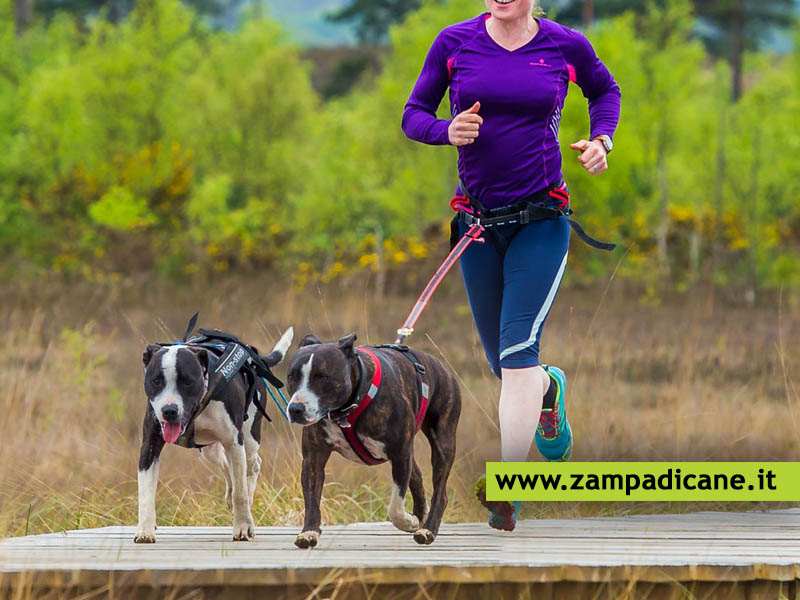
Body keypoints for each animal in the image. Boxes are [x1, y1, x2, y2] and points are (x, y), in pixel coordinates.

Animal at [136, 328, 296, 544]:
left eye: (187, 381)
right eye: (156, 381)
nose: (169, 410)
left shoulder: (234, 442)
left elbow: (240, 493)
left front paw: (243, 526)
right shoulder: (150, 446)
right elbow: (146, 493)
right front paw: (145, 530)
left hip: (249, 438)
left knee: (252, 466)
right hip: (208, 450)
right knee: (226, 465)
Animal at [288, 336, 462, 548]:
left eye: (322, 377)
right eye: (291, 377)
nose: (295, 409)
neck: (346, 409)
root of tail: (442, 366)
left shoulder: (400, 453)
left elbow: (395, 506)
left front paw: (406, 521)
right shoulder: (313, 459)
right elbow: (312, 498)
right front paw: (309, 532)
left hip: (442, 440)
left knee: (440, 491)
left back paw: (427, 530)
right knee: (417, 477)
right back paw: (420, 517)